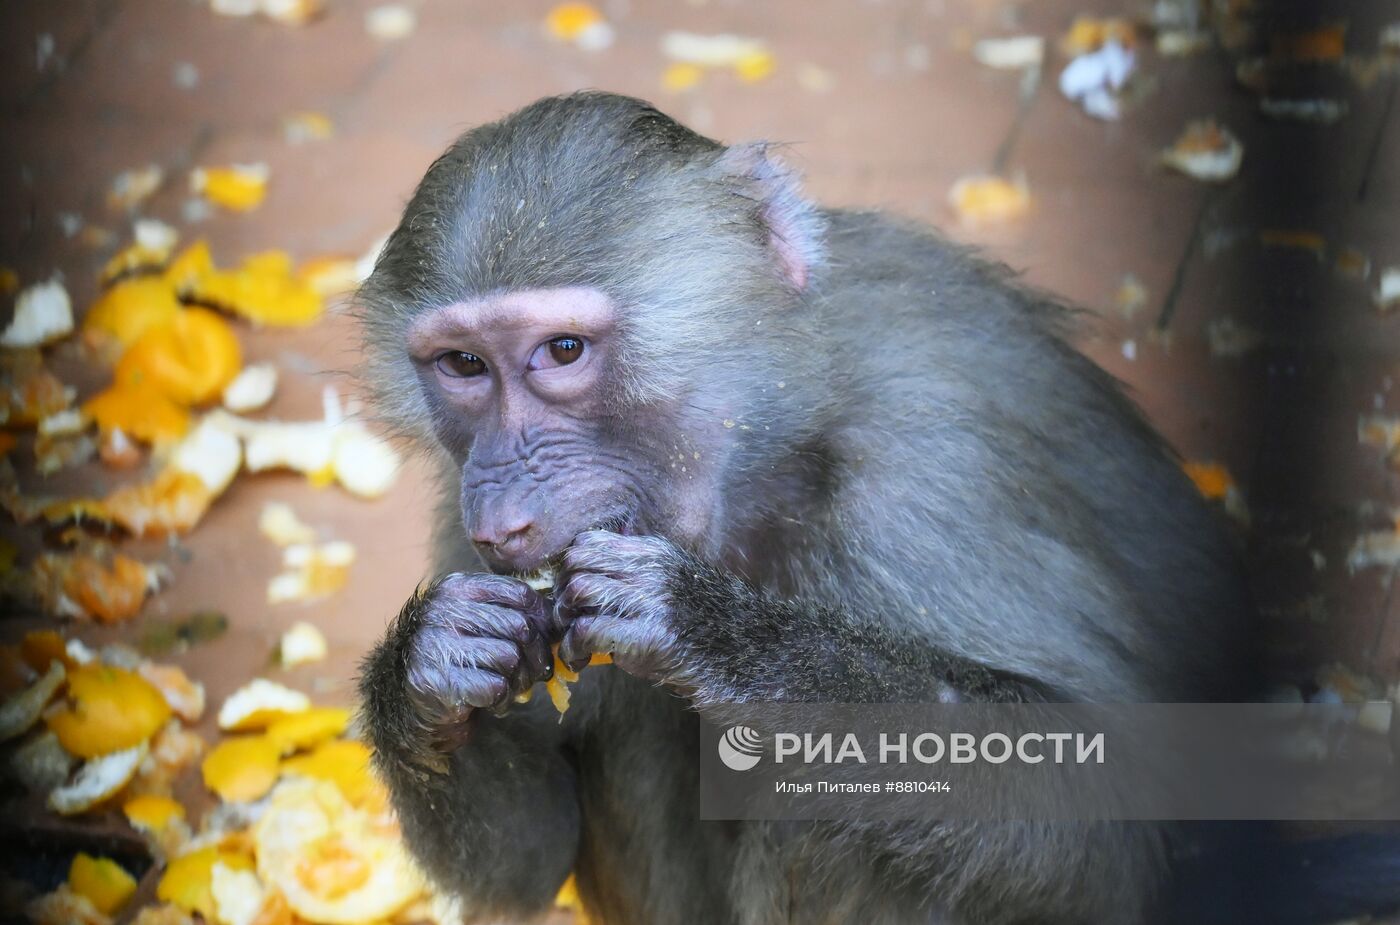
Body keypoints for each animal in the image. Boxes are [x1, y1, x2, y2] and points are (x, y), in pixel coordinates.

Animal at [352, 88, 1260, 923]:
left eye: (562, 351)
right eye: (463, 365)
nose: (501, 508)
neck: (771, 439)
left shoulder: (929, 470)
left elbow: (1105, 805)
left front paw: (723, 636)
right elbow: (533, 855)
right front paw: (430, 663)